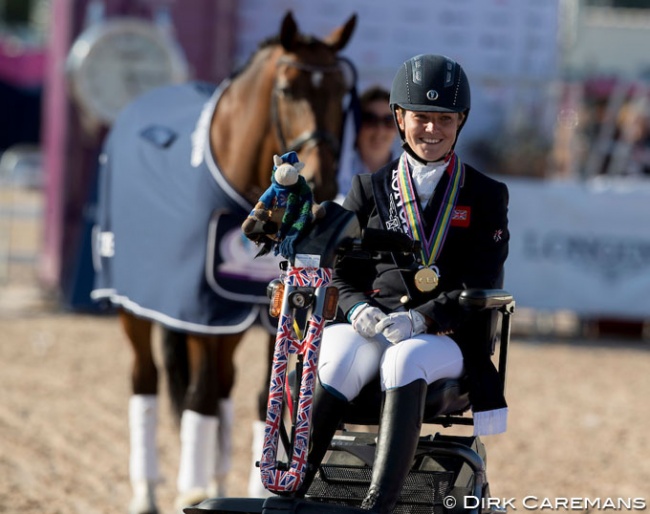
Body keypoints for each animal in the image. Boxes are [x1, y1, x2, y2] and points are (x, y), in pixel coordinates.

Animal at [90, 12, 354, 512]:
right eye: (287, 89)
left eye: (343, 93)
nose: (324, 179)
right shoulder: (202, 312)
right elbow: (200, 395)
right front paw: (191, 488)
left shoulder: (274, 310)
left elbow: (265, 394)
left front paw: (259, 486)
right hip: (135, 308)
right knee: (147, 380)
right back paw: (148, 491)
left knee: (227, 385)